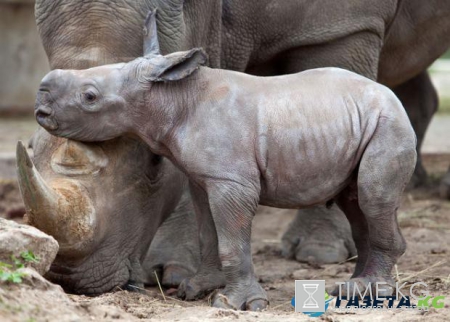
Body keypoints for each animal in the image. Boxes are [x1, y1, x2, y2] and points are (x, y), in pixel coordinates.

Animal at [23, 0, 450, 296]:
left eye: (90, 96)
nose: (70, 280)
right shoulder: (204, 165)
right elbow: (208, 222)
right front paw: (185, 283)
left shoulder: (339, 25)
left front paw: (262, 287)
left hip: (380, 116)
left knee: (373, 193)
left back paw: (371, 284)